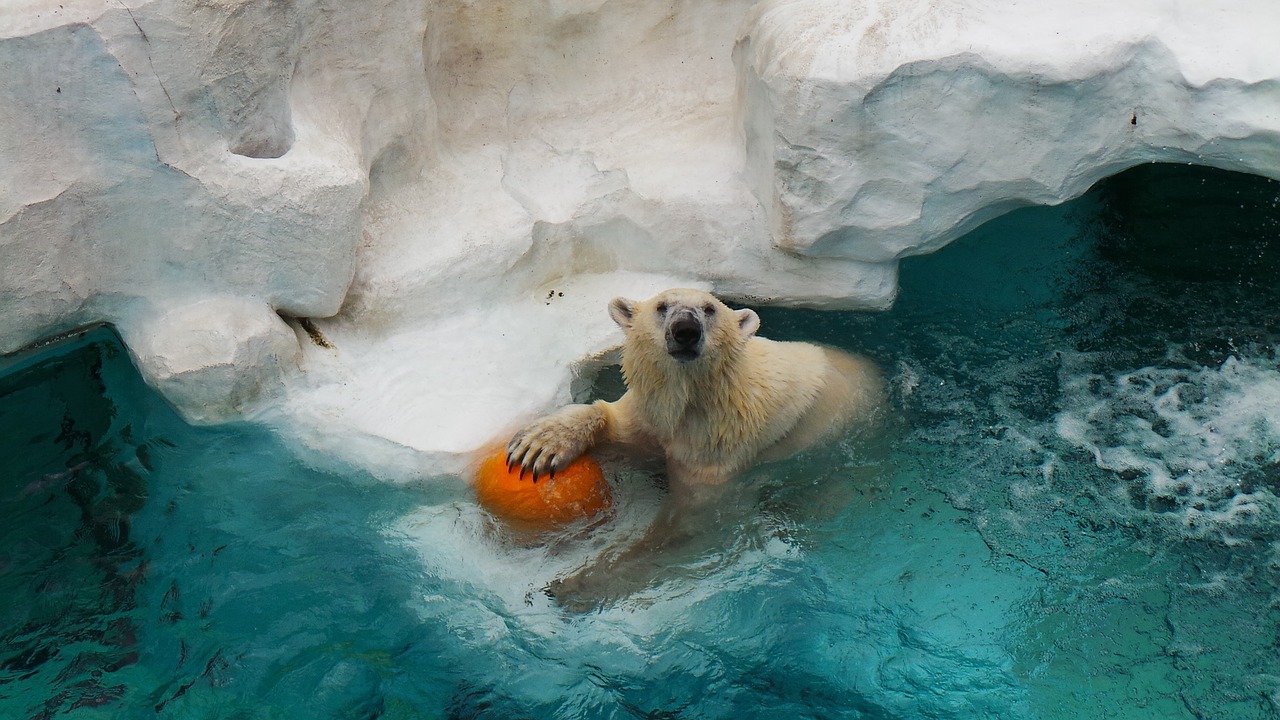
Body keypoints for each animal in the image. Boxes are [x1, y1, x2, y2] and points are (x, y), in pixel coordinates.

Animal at [504, 288, 885, 484]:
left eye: (709, 308)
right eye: (662, 306)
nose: (685, 329)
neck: (690, 400)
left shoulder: (716, 449)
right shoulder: (650, 413)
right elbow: (613, 420)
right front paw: (538, 446)